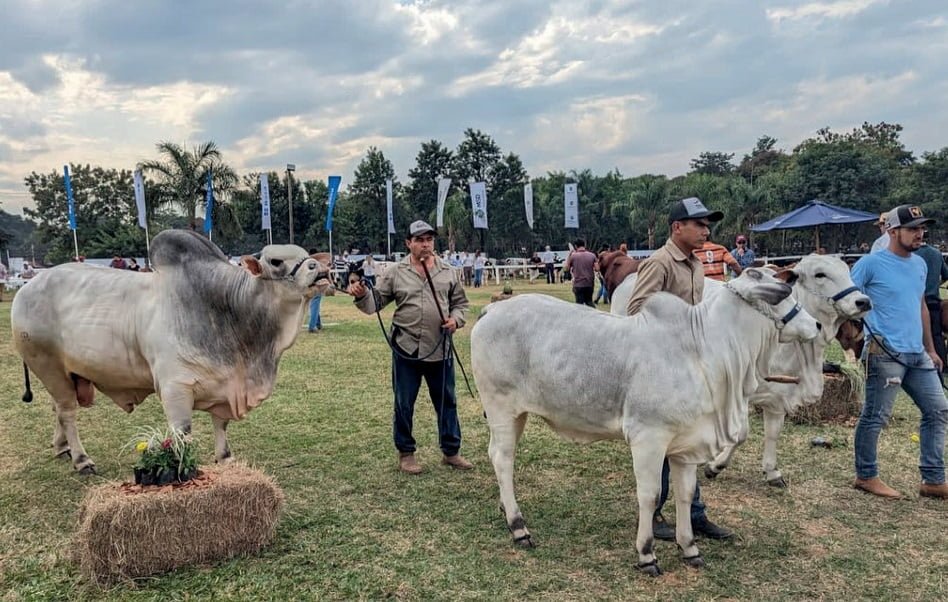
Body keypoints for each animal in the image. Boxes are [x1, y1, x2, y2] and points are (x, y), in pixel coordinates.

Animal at [12, 227, 334, 472]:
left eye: (305, 254)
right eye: (276, 261)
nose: (318, 269)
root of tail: (26, 288)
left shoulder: (226, 383)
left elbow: (221, 424)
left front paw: (225, 459)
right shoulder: (175, 387)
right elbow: (183, 435)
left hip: (67, 374)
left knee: (57, 408)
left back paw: (62, 447)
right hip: (48, 366)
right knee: (67, 412)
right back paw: (81, 459)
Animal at [474, 268, 824, 572]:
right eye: (780, 298)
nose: (818, 325)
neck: (703, 351)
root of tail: (491, 310)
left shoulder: (687, 447)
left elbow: (685, 494)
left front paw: (689, 547)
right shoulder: (648, 439)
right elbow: (650, 495)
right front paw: (646, 553)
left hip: (518, 414)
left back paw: (506, 509)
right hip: (501, 408)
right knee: (502, 459)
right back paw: (518, 526)